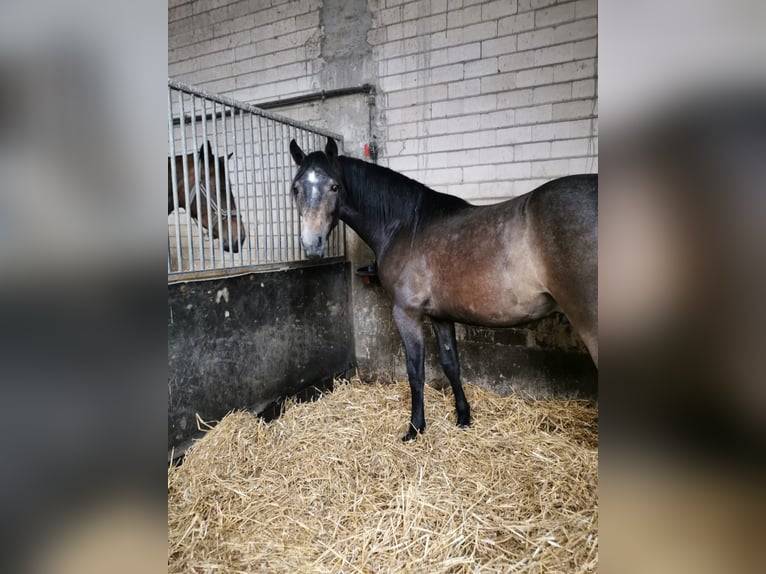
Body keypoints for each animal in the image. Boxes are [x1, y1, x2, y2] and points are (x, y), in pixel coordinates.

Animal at [292, 137, 596, 444]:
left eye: (335, 186)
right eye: (296, 188)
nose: (312, 244)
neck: (406, 226)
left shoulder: (407, 313)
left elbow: (416, 371)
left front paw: (415, 428)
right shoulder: (440, 315)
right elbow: (451, 364)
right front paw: (463, 417)